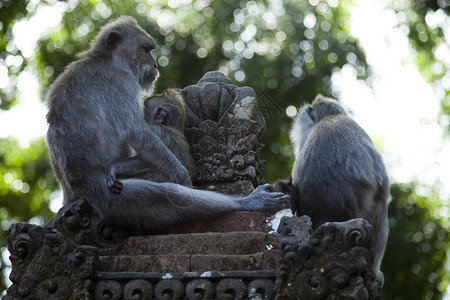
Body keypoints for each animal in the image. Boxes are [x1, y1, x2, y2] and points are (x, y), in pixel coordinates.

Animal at [45, 15, 286, 232]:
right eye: (145, 49)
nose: (154, 64)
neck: (105, 58)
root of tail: (74, 196)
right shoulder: (119, 81)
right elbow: (135, 131)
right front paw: (183, 176)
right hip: (111, 197)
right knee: (167, 195)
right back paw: (246, 202)